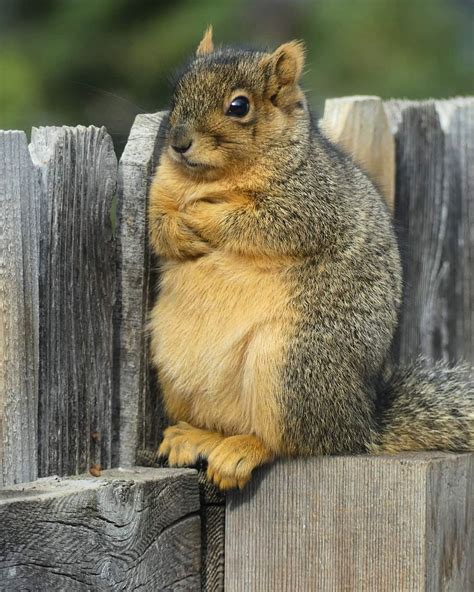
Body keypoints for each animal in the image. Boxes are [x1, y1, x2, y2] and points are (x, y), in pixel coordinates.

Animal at [146, 27, 472, 490]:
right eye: (176, 91)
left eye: (239, 106)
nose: (178, 143)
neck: (210, 178)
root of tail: (360, 425)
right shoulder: (159, 189)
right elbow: (157, 223)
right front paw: (178, 231)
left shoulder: (311, 202)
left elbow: (259, 222)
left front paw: (202, 215)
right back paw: (196, 436)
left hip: (290, 366)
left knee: (293, 443)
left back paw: (243, 451)